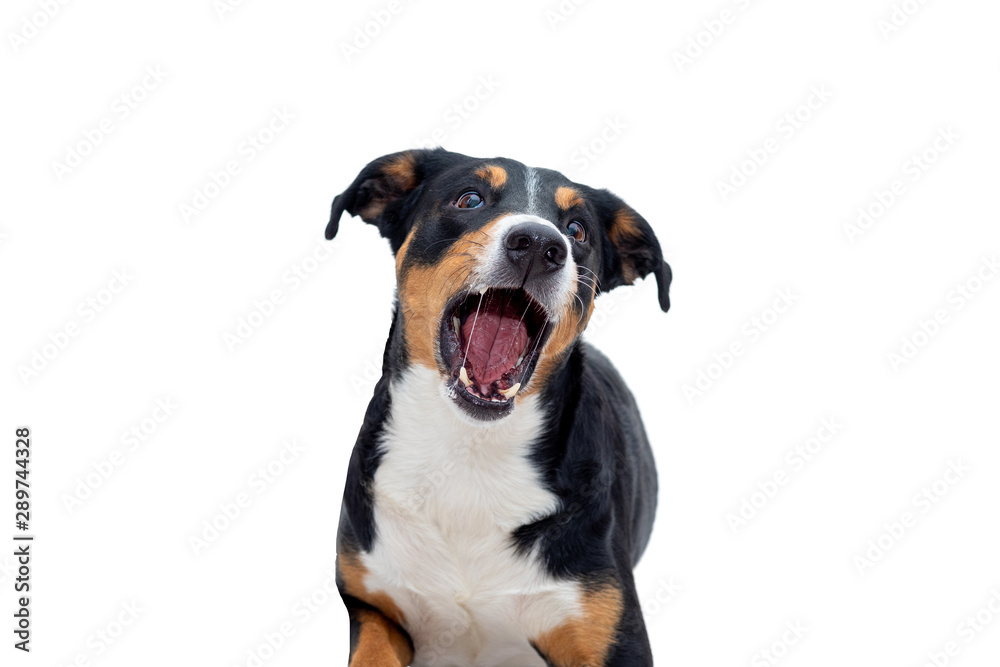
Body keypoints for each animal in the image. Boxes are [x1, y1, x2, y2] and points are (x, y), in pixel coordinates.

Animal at [328, 150, 672, 667]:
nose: (539, 245)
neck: (471, 450)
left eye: (577, 230)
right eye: (470, 199)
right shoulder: (372, 605)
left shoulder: (609, 634)